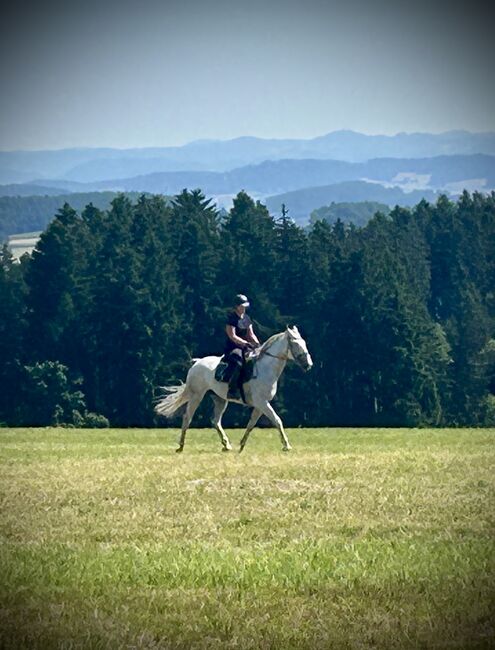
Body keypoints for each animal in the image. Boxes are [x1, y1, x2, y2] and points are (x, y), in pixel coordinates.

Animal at [155, 324, 312, 450]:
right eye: (296, 344)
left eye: (304, 343)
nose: (308, 365)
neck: (265, 368)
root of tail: (196, 363)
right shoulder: (262, 402)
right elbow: (277, 420)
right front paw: (286, 446)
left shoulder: (261, 404)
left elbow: (251, 424)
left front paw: (242, 445)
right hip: (196, 396)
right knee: (187, 417)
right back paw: (181, 446)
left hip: (220, 399)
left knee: (215, 421)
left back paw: (226, 445)